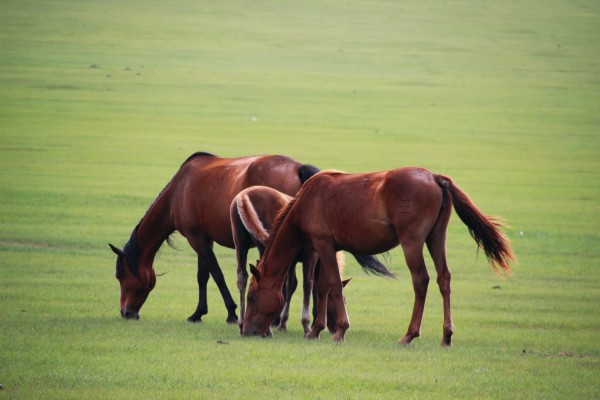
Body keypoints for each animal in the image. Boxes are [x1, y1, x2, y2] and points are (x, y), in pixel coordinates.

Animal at [109, 152, 324, 324]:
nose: (125, 312)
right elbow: (202, 276)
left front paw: (231, 312)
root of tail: (298, 168)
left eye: (120, 275)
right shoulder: (204, 238)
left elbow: (216, 274)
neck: (178, 191)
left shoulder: (196, 239)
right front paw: (198, 313)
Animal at [230, 185, 352, 334]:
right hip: (262, 246)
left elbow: (290, 285)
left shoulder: (290, 260)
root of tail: (244, 196)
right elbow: (307, 284)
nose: (334, 328)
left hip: (240, 245)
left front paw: (283, 322)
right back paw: (266, 329)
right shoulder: (310, 256)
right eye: (344, 300)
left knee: (242, 278)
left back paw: (242, 323)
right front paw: (306, 324)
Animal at [244, 167, 516, 346]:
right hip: (436, 238)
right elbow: (323, 287)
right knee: (444, 279)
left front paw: (339, 330)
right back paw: (446, 335)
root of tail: (434, 177)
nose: (246, 330)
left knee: (421, 281)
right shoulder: (326, 248)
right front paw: (316, 329)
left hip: (412, 242)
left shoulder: (323, 245)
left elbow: (333, 285)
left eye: (250, 296)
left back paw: (409, 334)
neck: (307, 200)